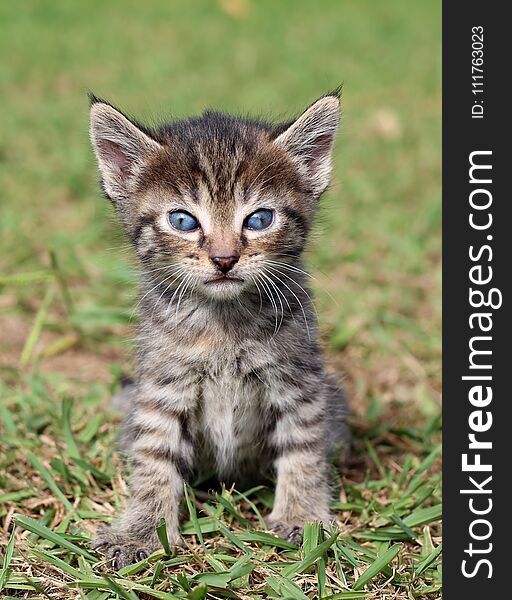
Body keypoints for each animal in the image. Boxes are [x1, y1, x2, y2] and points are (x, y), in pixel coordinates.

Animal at [90, 90, 350, 568]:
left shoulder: (299, 379)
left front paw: (302, 517)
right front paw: (141, 532)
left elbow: (303, 447)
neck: (223, 323)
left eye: (260, 219)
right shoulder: (162, 384)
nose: (225, 258)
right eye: (183, 221)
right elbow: (154, 455)